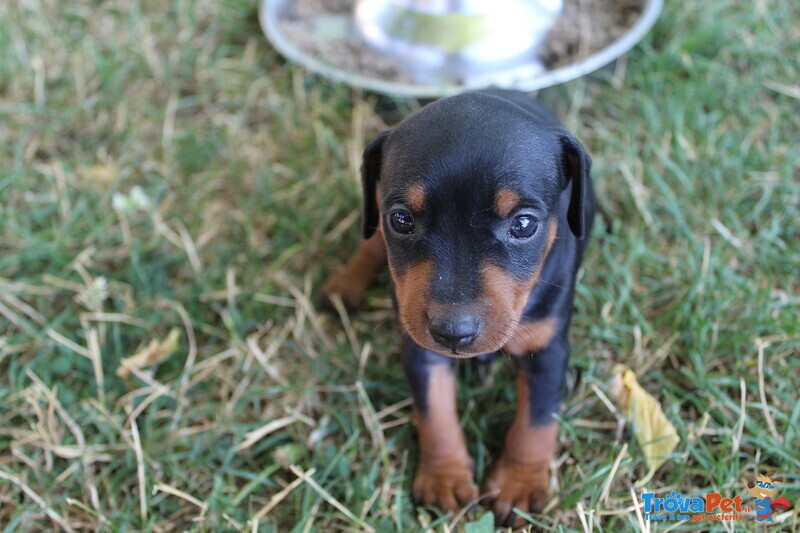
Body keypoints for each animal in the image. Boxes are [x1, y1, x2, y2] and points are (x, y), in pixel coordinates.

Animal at [320, 88, 592, 524]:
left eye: (524, 225)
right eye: (401, 219)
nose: (452, 332)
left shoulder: (547, 349)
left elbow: (536, 421)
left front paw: (518, 485)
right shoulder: (421, 350)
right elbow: (435, 412)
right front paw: (444, 478)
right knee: (369, 242)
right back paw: (344, 287)